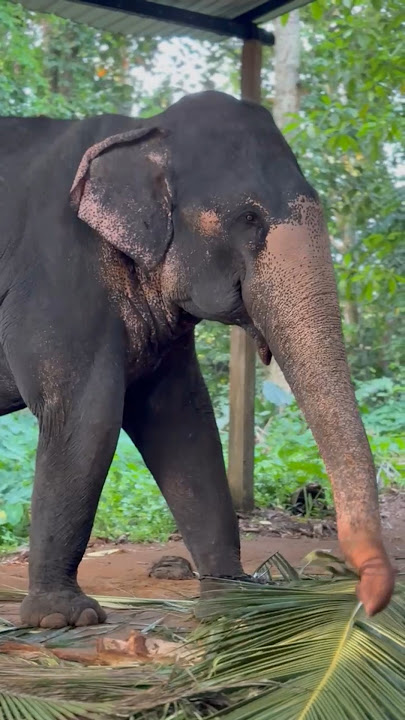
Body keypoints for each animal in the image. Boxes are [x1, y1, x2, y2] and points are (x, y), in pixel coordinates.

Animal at [0, 90, 395, 628]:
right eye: (248, 219)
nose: (368, 598)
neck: (141, 130)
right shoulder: (55, 272)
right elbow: (86, 417)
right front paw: (62, 619)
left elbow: (183, 422)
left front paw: (232, 605)